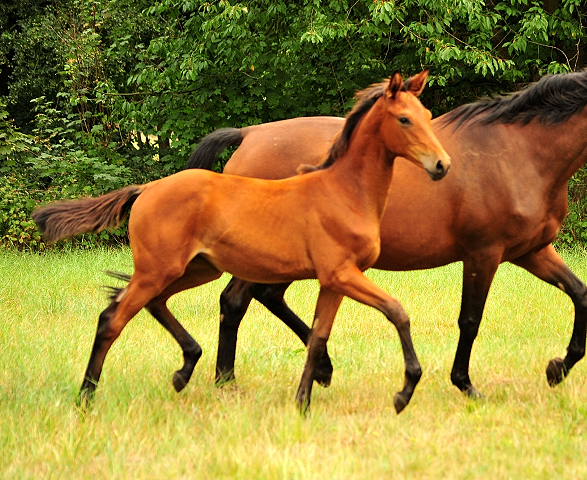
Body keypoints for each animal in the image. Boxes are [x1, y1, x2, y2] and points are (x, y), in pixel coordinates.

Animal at [32, 70, 452, 412]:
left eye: (428, 115)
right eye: (404, 119)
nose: (442, 165)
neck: (344, 191)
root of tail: (147, 189)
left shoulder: (334, 280)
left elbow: (318, 336)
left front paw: (303, 401)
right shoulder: (342, 274)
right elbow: (397, 312)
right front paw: (404, 391)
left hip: (195, 269)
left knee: (154, 303)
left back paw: (185, 368)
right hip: (159, 270)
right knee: (112, 319)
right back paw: (86, 398)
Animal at [186, 67, 587, 398]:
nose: (440, 165)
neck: (518, 153)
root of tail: (249, 135)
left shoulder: (532, 251)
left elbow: (580, 294)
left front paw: (557, 369)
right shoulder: (483, 254)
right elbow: (470, 321)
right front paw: (465, 385)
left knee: (261, 297)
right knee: (236, 301)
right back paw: (233, 379)